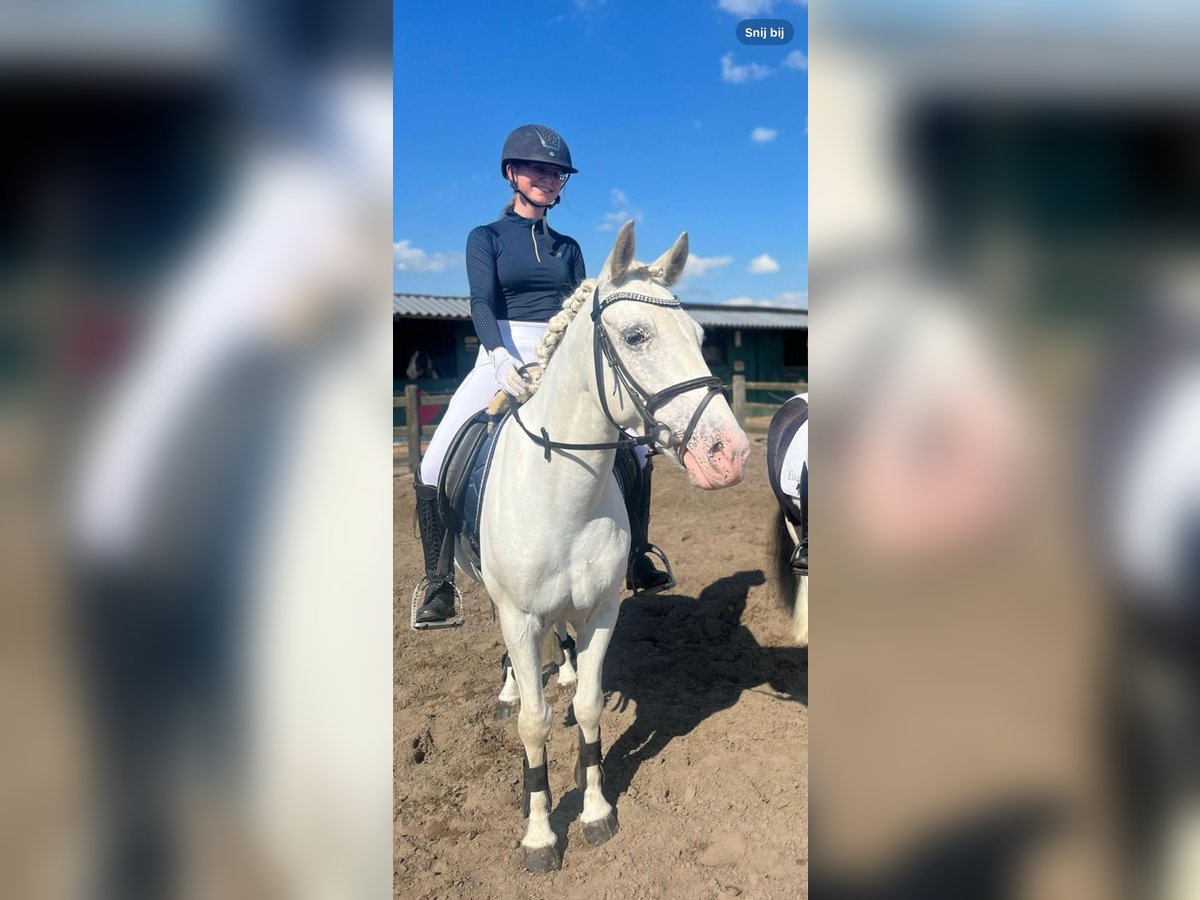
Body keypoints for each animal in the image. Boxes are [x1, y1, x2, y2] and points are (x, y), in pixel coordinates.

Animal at [453, 220, 744, 873]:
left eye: (700, 336)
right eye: (636, 336)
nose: (731, 455)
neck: (562, 494)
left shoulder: (603, 610)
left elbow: (587, 707)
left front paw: (594, 812)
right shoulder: (517, 613)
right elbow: (533, 725)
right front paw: (539, 836)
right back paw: (511, 686)